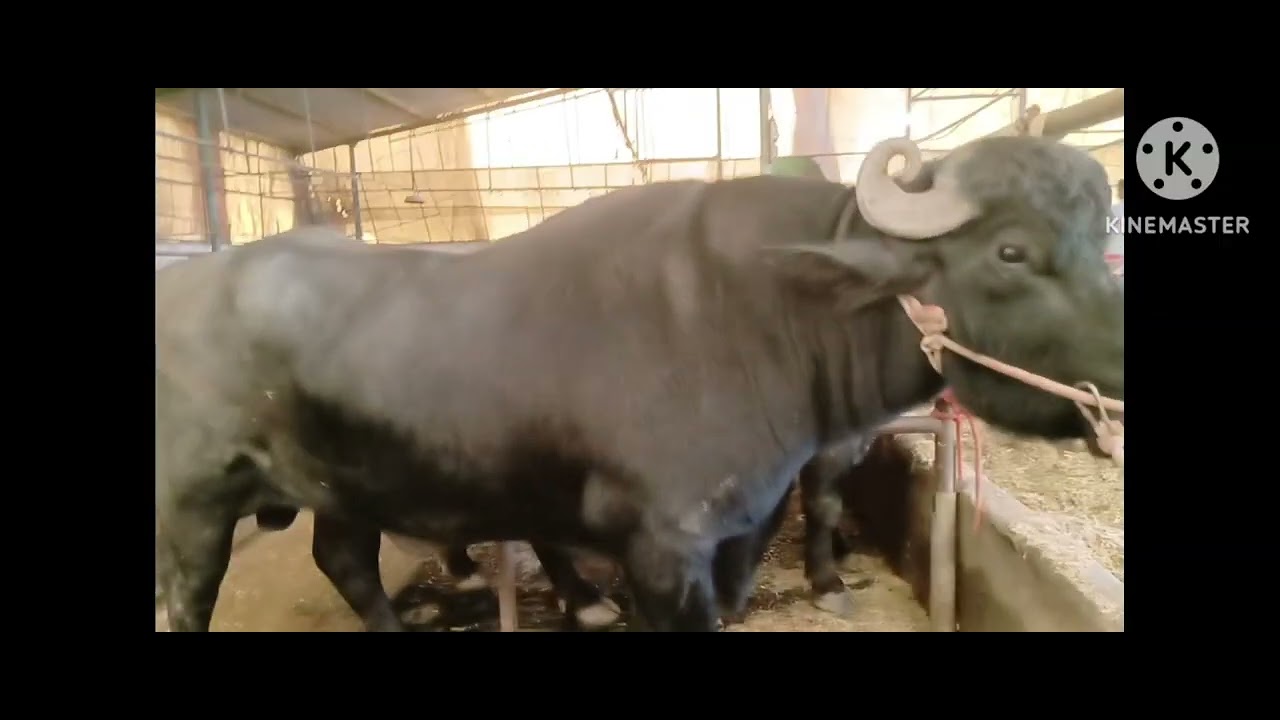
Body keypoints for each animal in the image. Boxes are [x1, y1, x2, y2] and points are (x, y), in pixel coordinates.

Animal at [155, 134, 1124, 632]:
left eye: (1102, 232)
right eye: (1011, 250)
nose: (1115, 377)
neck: (770, 310)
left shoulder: (739, 531)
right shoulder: (663, 549)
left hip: (346, 484)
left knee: (345, 562)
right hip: (195, 504)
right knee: (191, 599)